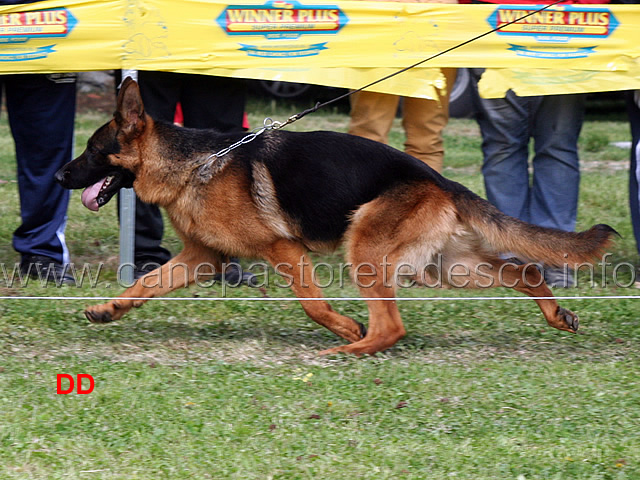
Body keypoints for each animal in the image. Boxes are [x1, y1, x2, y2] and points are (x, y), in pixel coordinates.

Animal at [56, 79, 616, 354]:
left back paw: (351, 349)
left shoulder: (284, 250)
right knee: (524, 270)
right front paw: (108, 309)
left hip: (366, 250)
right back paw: (556, 314)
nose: (60, 176)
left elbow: (313, 306)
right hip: (445, 268)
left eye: (92, 150)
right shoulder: (203, 259)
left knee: (391, 326)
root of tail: (441, 181)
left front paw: (343, 328)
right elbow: (144, 284)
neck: (195, 163)